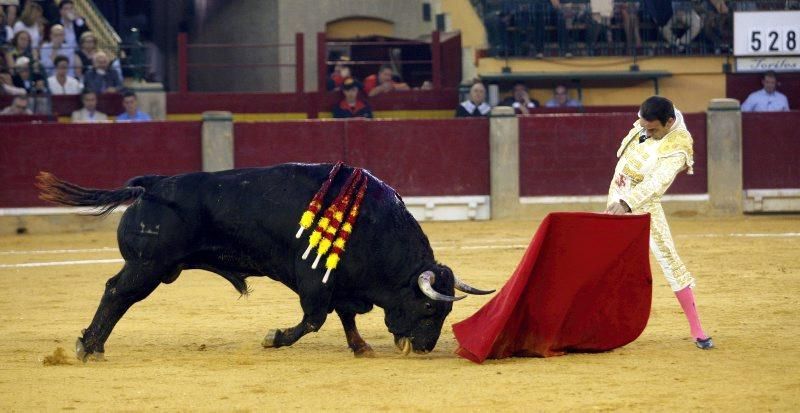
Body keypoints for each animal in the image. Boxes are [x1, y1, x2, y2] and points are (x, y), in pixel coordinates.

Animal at [37, 163, 494, 358]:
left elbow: (346, 316)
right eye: (431, 309)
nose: (424, 348)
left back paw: (92, 344)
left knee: (117, 294)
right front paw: (273, 338)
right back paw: (89, 346)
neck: (375, 227)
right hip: (146, 266)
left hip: (150, 267)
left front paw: (361, 347)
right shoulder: (315, 282)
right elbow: (314, 319)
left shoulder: (339, 281)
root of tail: (151, 185)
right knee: (117, 293)